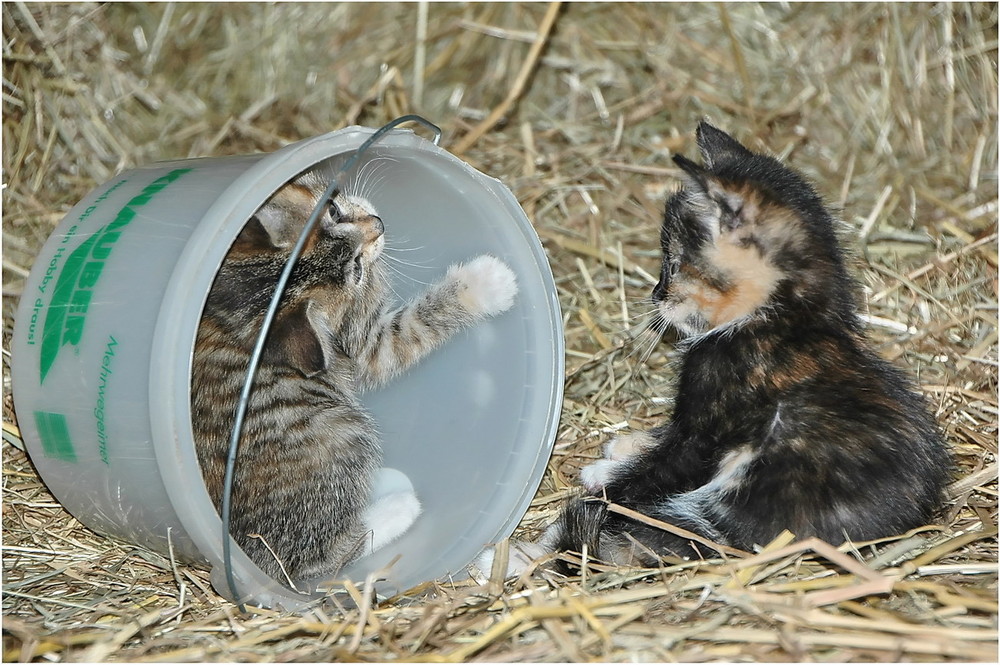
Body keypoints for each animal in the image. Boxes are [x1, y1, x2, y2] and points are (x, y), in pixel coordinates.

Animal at [192, 169, 520, 584]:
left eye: (332, 209)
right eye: (358, 269)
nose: (378, 224)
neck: (229, 311)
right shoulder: (363, 347)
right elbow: (412, 329)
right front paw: (484, 284)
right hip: (344, 434)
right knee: (317, 560)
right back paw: (398, 507)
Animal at [480, 120, 948, 572]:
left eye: (672, 264)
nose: (656, 293)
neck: (779, 317)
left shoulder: (706, 431)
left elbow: (643, 475)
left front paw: (602, 472)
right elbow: (663, 437)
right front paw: (622, 448)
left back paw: (513, 559)